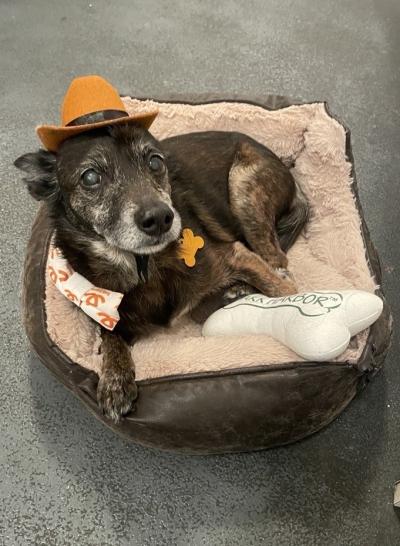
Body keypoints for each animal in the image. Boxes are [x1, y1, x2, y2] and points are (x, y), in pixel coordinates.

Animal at [14, 124, 310, 420]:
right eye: (90, 177)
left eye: (155, 162)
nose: (159, 218)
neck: (142, 267)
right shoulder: (108, 311)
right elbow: (110, 337)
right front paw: (114, 381)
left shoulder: (235, 253)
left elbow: (282, 289)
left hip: (244, 188)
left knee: (278, 261)